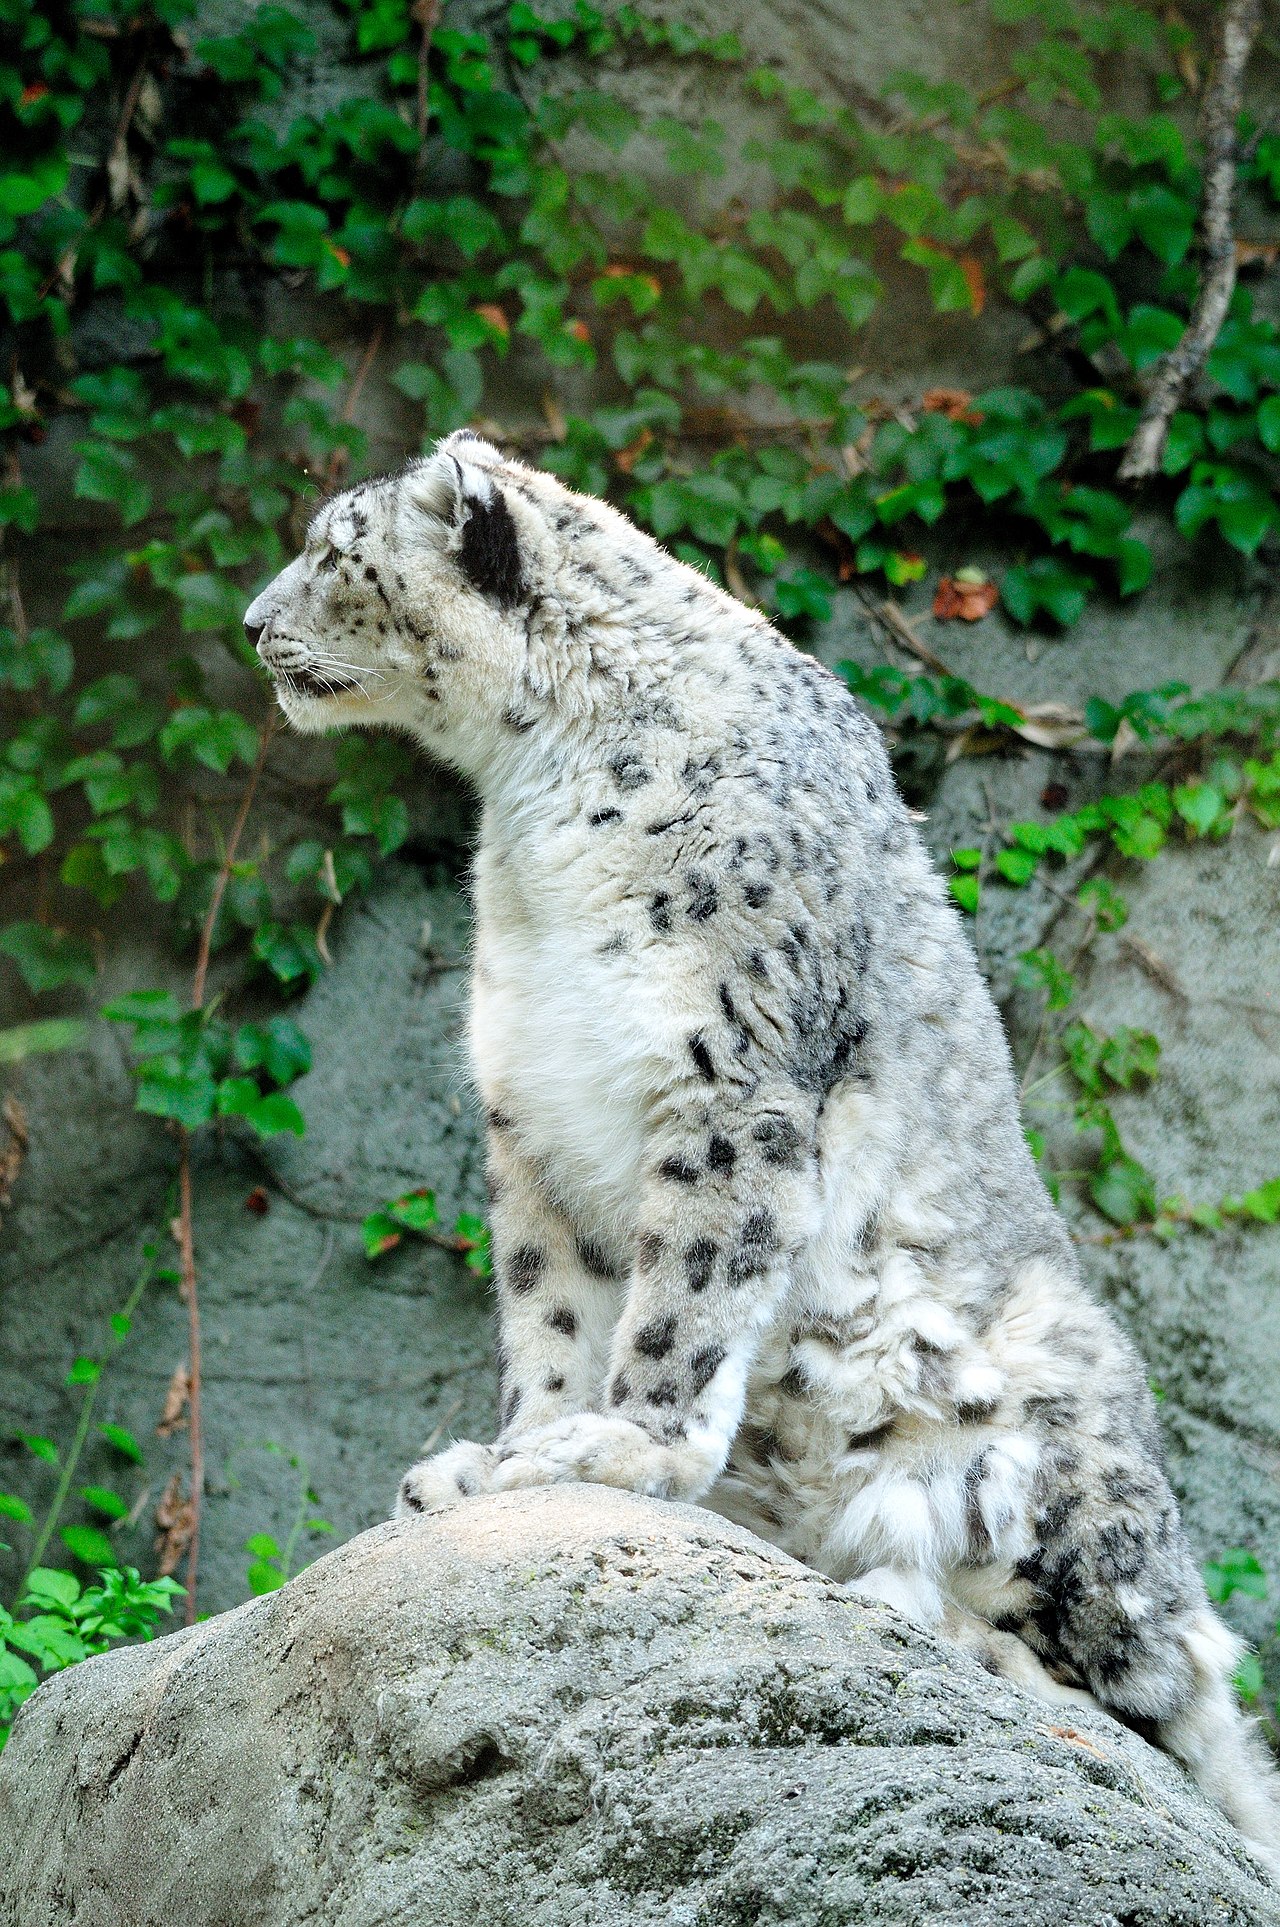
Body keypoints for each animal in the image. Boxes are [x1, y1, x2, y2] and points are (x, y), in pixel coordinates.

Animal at [244, 427, 1280, 1874]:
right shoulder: (530, 1111)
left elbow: (684, 1292)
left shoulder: (729, 1080)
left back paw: (954, 1627)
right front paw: (504, 1458)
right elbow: (551, 1311)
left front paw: (622, 1449)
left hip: (1057, 1451)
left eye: (335, 551)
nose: (252, 624)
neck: (532, 814)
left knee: (1167, 1700)